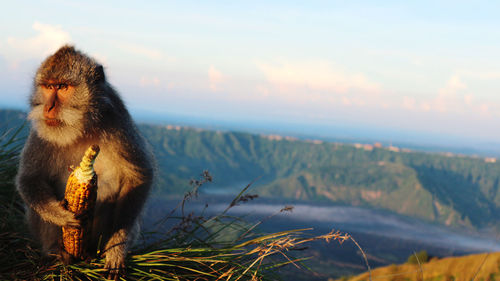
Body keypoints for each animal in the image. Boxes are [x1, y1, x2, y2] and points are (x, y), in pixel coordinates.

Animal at [15, 45, 154, 278]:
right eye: (48, 86)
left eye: (62, 87)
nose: (48, 108)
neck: (81, 127)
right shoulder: (42, 132)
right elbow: (29, 179)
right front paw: (59, 215)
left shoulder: (117, 120)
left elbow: (138, 176)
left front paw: (116, 247)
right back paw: (57, 252)